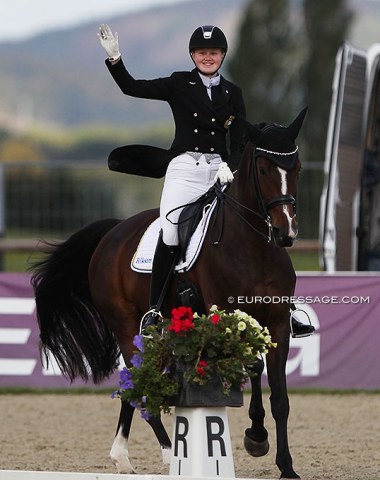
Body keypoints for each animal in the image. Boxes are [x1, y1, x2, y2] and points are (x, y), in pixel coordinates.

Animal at [31, 109, 308, 480]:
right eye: (262, 168)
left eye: (297, 168)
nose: (285, 232)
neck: (253, 246)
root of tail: (113, 231)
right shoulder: (228, 317)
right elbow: (251, 367)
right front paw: (255, 436)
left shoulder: (277, 324)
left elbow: (280, 397)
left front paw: (285, 465)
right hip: (128, 326)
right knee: (139, 383)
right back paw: (162, 453)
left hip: (164, 333)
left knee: (140, 382)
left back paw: (127, 455)